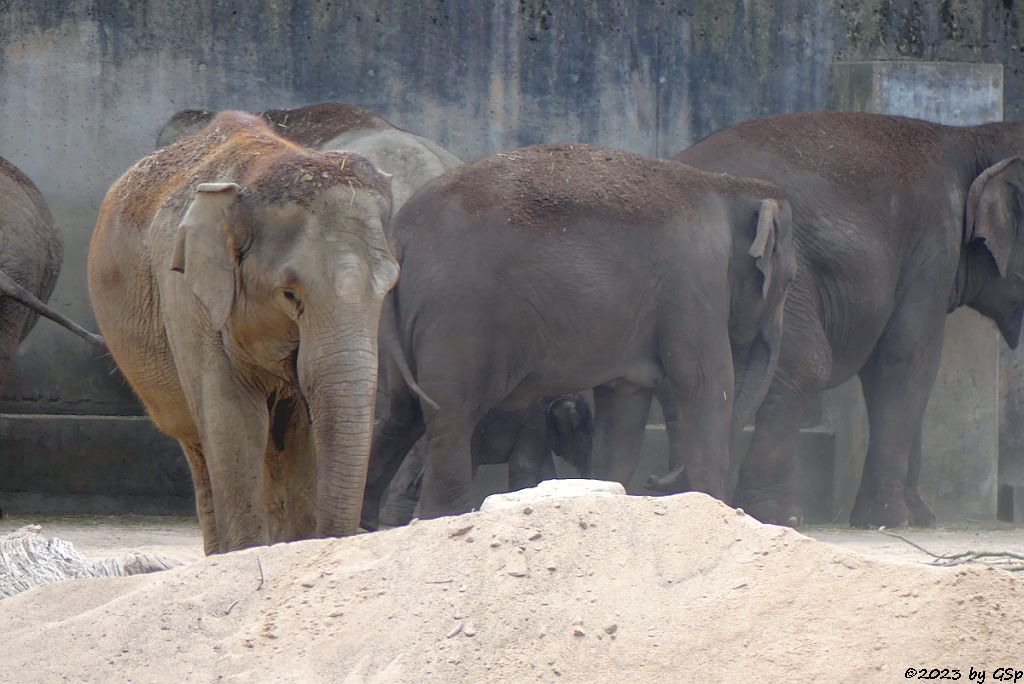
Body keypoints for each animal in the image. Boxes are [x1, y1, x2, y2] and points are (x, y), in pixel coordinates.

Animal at [89, 109, 399, 552]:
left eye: (389, 287)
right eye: (289, 294)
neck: (259, 170)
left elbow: (300, 429)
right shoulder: (188, 299)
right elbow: (233, 421)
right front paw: (251, 552)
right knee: (201, 445)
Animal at [671, 111, 1024, 528]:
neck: (973, 138)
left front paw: (919, 516)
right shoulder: (934, 244)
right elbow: (907, 359)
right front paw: (889, 518)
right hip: (783, 276)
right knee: (805, 363)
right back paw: (779, 515)